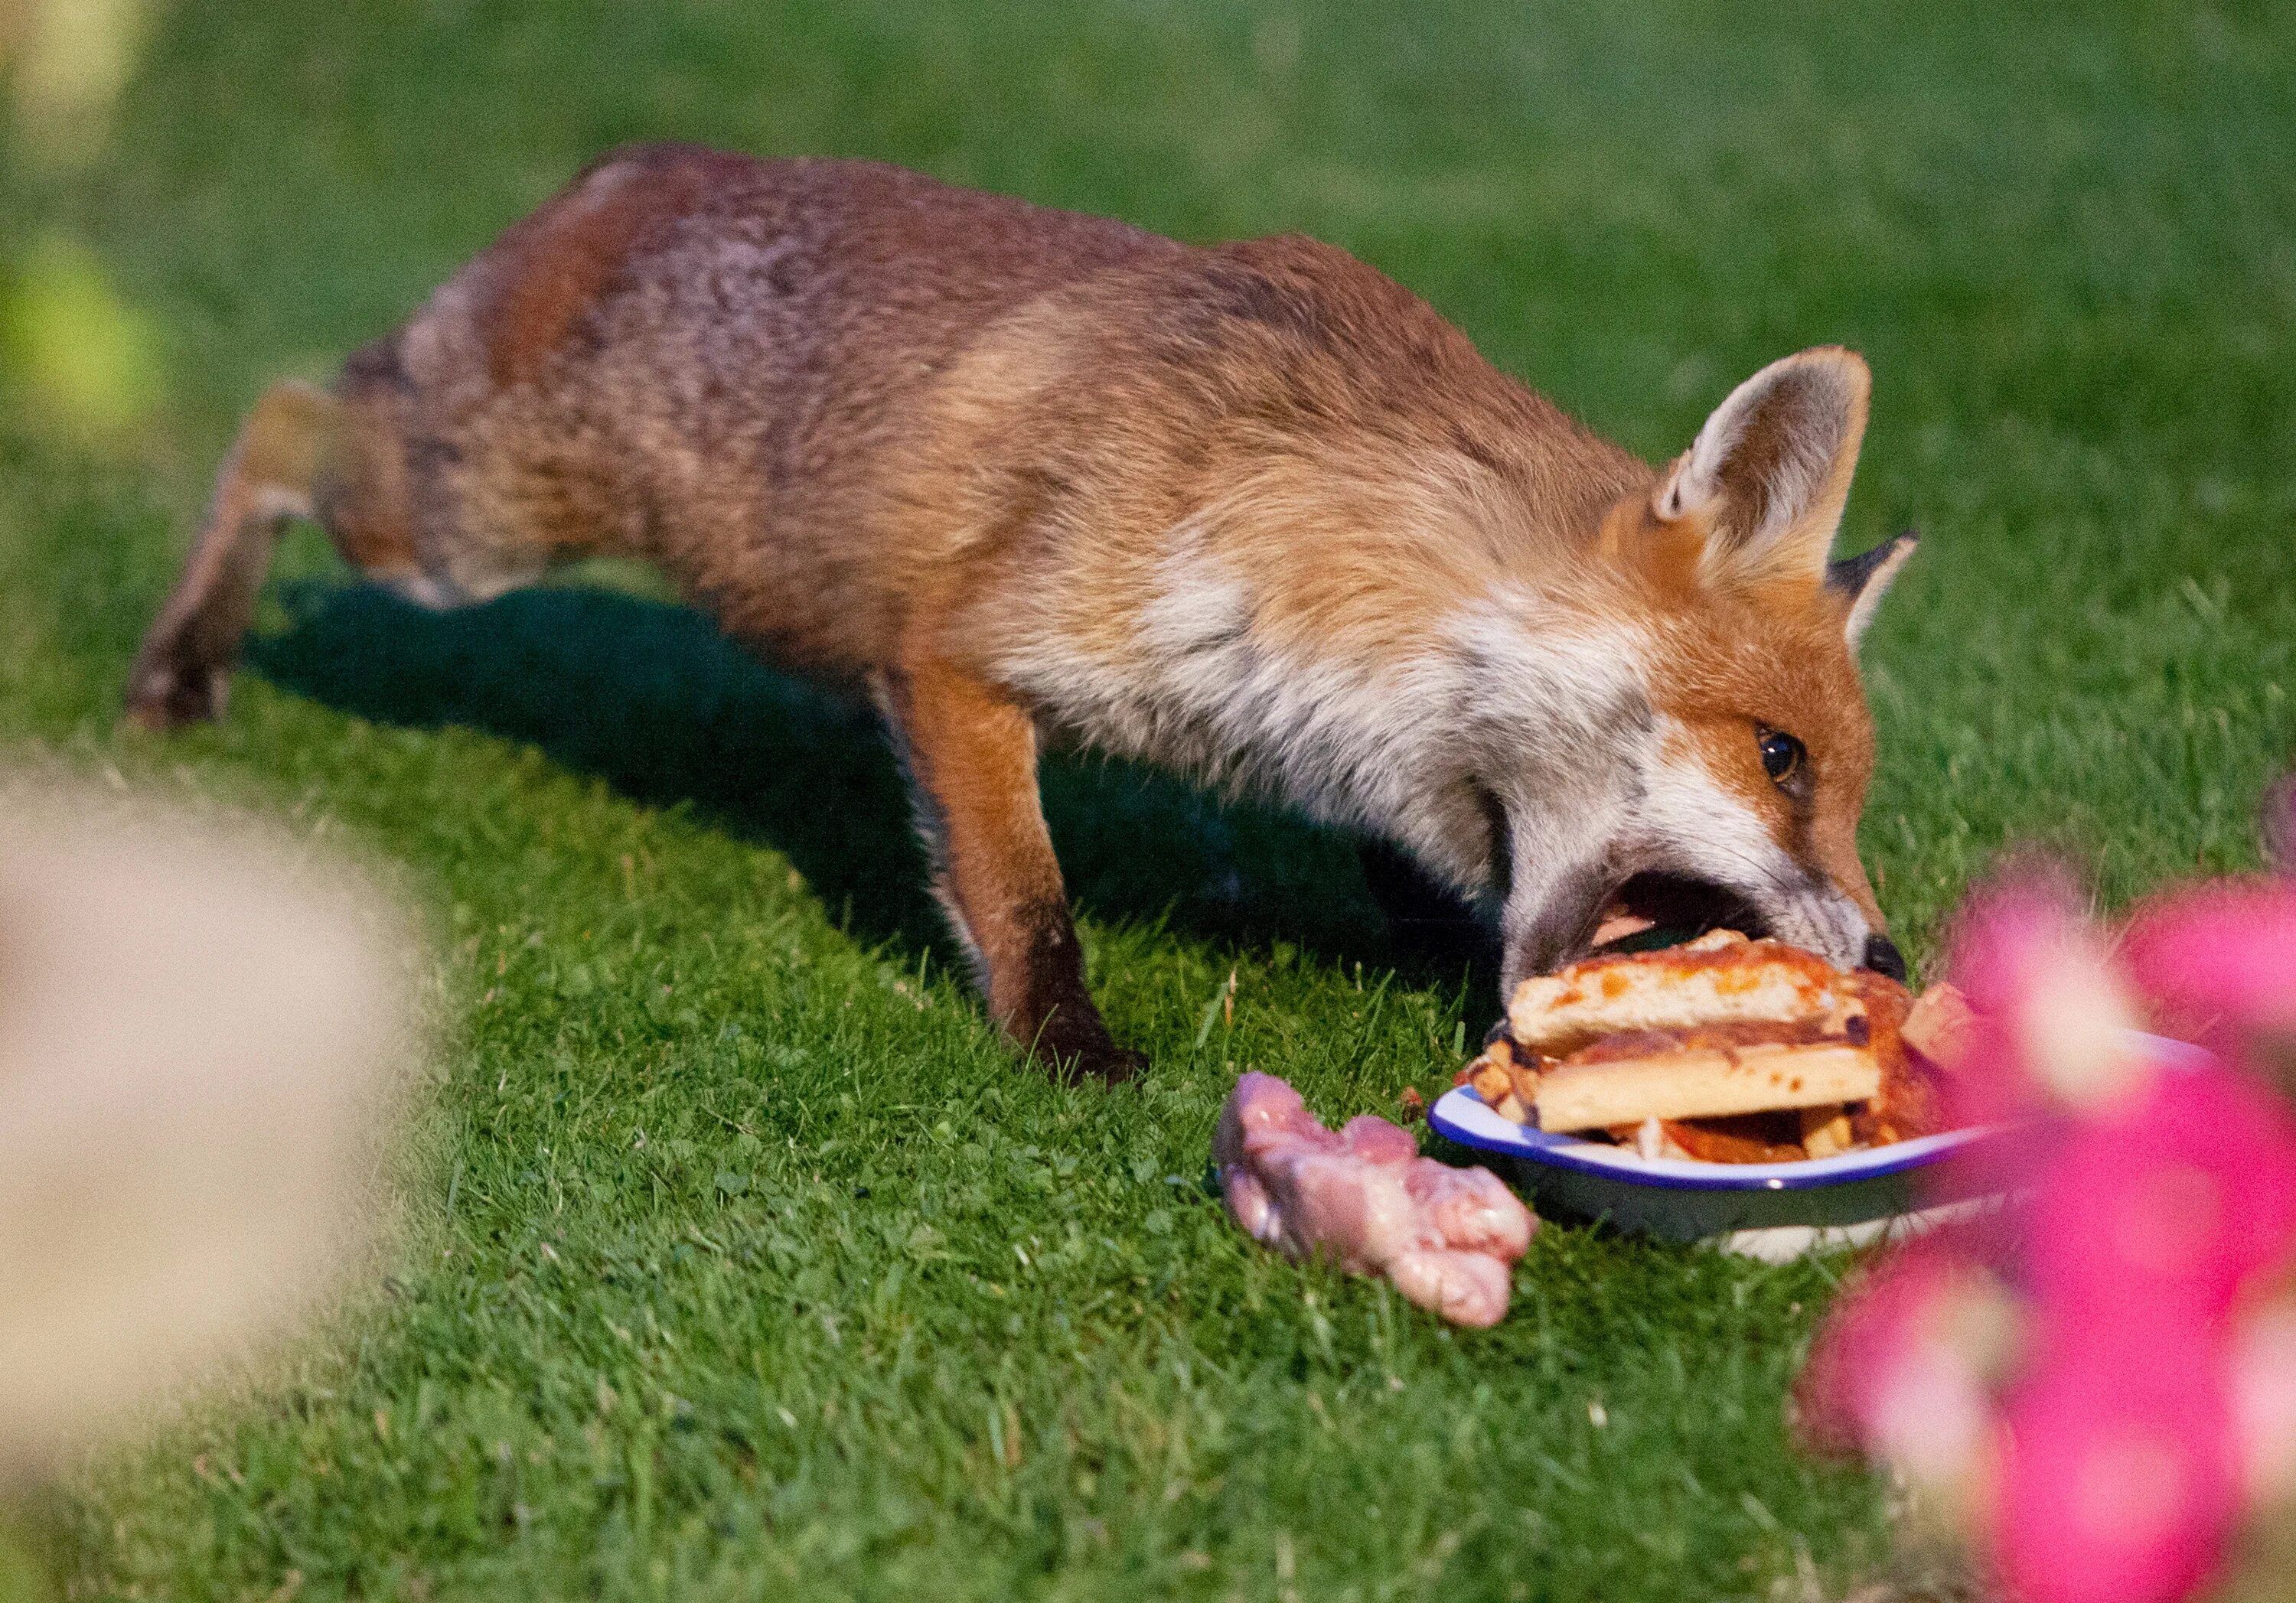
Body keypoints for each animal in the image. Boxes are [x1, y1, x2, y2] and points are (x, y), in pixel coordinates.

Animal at [130, 143, 1919, 1079]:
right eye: (1780, 762)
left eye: (1841, 788)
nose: (1894, 951)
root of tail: (620, 167)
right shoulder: (954, 658)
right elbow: (1024, 893)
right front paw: (1070, 1055)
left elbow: (1419, 861)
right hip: (458, 529)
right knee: (275, 417)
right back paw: (179, 662)